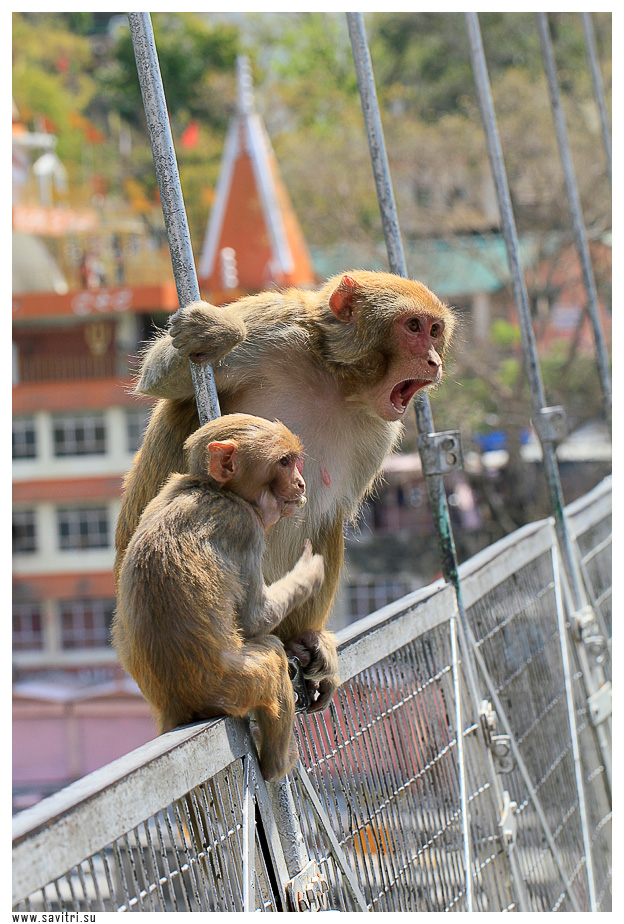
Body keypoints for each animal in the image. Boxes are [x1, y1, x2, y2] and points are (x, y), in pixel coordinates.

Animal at [112, 412, 324, 780]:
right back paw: (276, 763)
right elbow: (254, 619)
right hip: (235, 686)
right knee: (271, 656)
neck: (212, 489)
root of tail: (174, 702)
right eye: (284, 462)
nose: (300, 483)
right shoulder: (246, 526)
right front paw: (307, 574)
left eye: (294, 461)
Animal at [117, 270, 456, 712]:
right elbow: (158, 378)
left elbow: (333, 512)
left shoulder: (382, 429)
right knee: (181, 411)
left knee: (327, 524)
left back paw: (303, 638)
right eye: (413, 327)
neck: (336, 379)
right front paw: (217, 332)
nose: (434, 362)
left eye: (435, 331)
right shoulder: (275, 329)